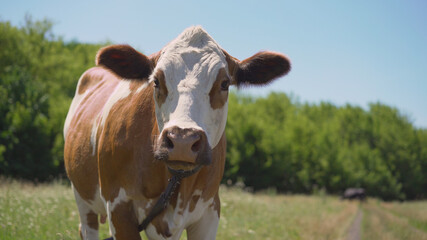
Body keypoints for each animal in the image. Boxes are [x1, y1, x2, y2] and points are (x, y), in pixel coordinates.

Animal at [63, 25, 290, 239]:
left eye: (225, 84)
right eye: (156, 81)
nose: (182, 140)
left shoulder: (209, 211)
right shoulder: (118, 208)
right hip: (81, 196)